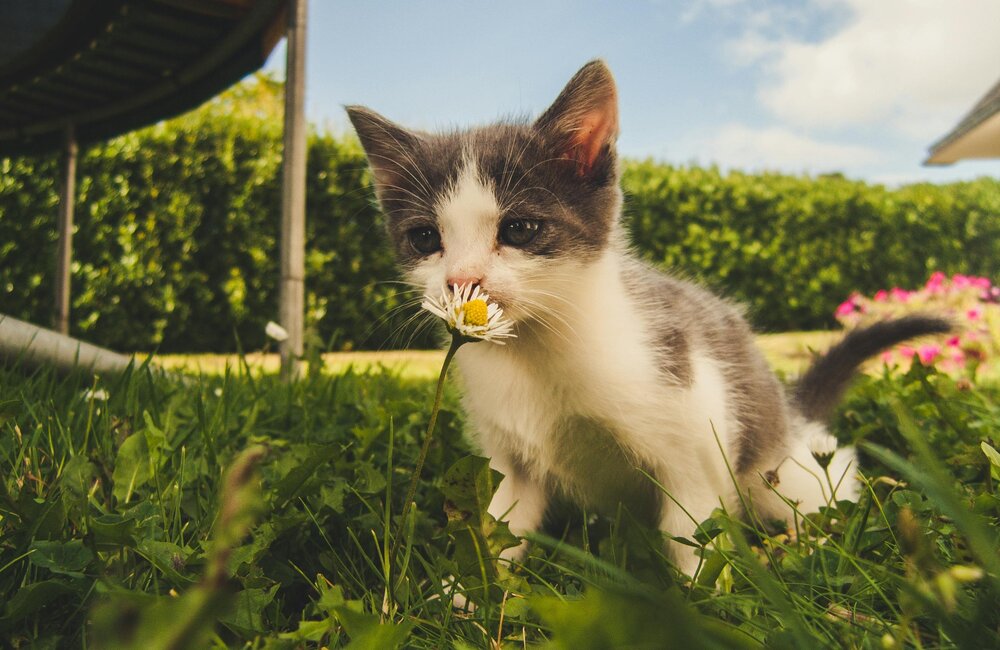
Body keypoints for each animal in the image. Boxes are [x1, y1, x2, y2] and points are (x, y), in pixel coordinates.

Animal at [348, 60, 948, 576]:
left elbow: (692, 535)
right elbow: (501, 524)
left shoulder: (695, 433)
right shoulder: (510, 458)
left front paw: (704, 604)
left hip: (779, 468)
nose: (462, 281)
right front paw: (464, 595)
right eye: (425, 238)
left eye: (519, 229)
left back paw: (808, 543)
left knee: (824, 482)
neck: (537, 350)